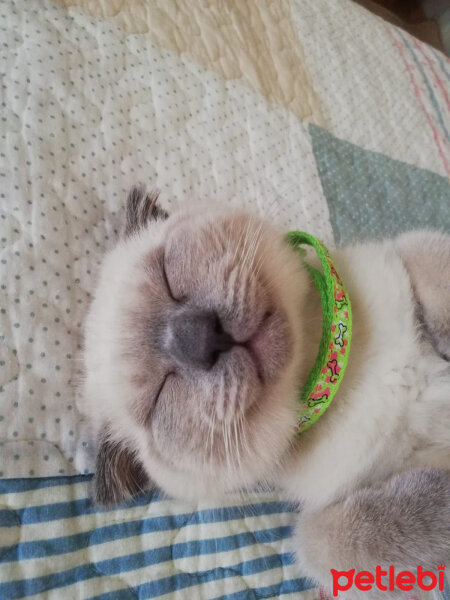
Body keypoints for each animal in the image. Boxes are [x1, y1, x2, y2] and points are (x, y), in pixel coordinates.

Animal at [81, 189, 450, 596]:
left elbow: (428, 261)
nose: (201, 337)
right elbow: (318, 540)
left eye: (166, 274)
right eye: (157, 397)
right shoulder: (329, 518)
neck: (329, 370)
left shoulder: (405, 256)